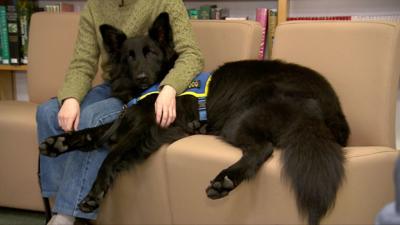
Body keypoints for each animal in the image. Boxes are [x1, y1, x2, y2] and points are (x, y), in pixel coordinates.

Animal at [39, 12, 348, 225]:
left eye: (150, 53)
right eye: (129, 56)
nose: (142, 77)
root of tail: (331, 109)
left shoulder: (146, 129)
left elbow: (111, 156)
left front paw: (93, 195)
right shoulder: (126, 120)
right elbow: (93, 131)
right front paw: (58, 142)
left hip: (239, 118)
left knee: (264, 149)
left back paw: (225, 180)